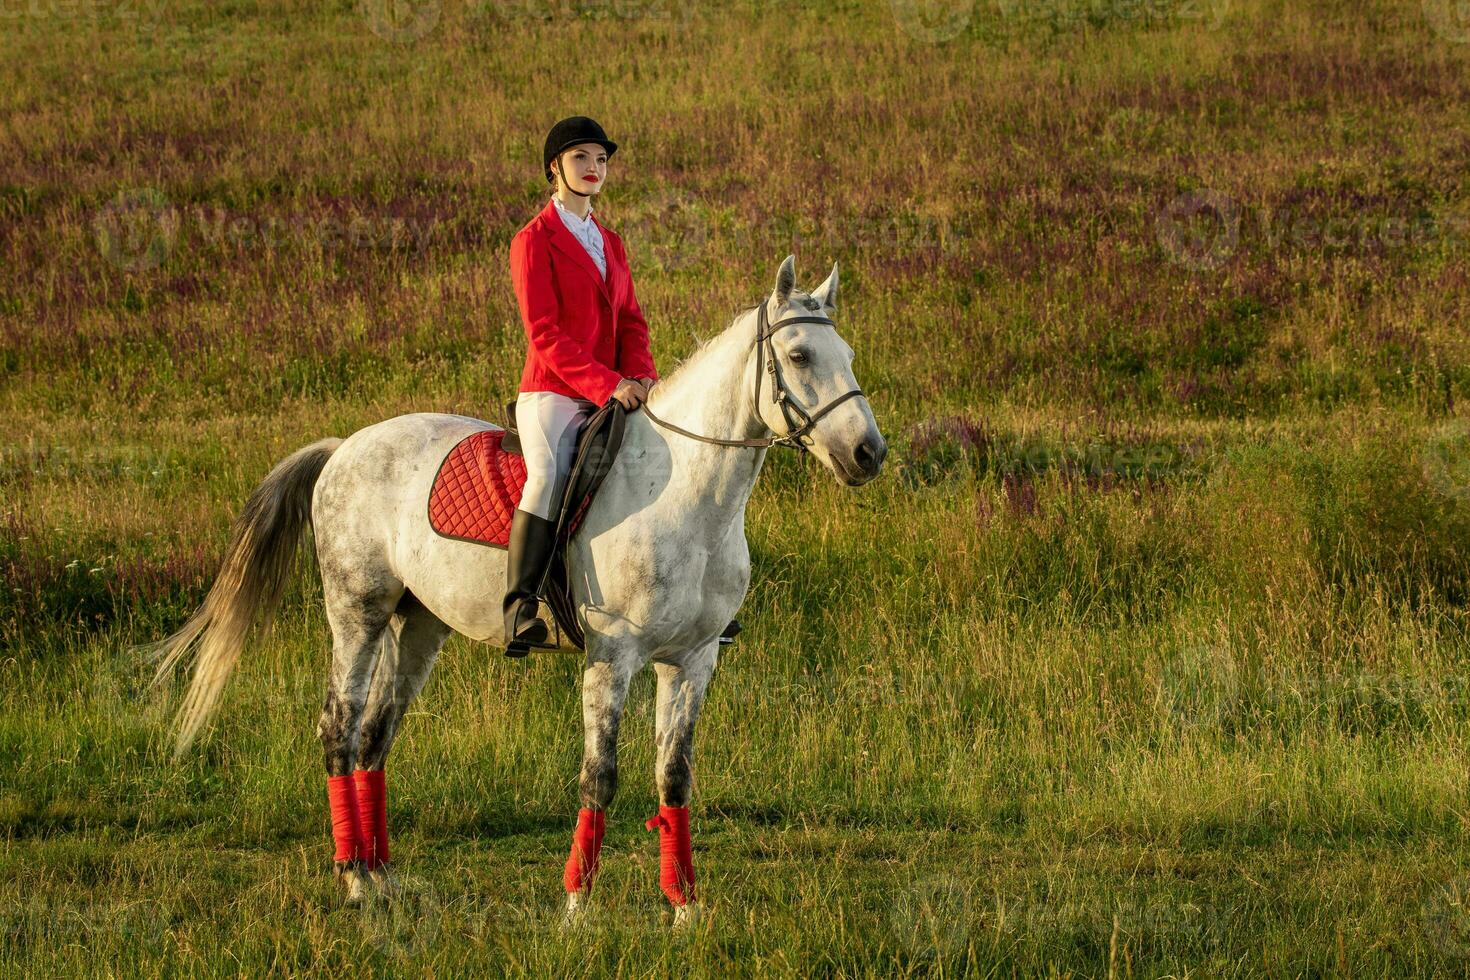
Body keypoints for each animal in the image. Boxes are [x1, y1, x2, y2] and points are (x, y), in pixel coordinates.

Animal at [140, 257, 882, 922]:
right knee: (340, 728)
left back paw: (382, 880)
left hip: (418, 626)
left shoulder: (692, 662)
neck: (693, 500)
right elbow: (599, 777)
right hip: (357, 614)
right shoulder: (613, 660)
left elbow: (674, 779)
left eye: (846, 353)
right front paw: (577, 908)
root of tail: (344, 446)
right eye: (799, 354)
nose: (868, 453)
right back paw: (351, 879)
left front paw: (684, 910)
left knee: (377, 733)